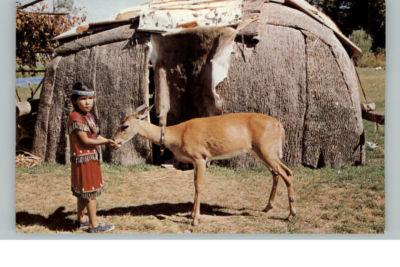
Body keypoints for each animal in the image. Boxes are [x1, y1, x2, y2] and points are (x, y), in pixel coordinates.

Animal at [113, 104, 296, 226]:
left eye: (125, 126)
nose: (114, 143)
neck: (177, 136)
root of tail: (280, 125)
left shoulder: (200, 157)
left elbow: (198, 185)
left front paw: (195, 219)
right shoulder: (196, 161)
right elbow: (195, 185)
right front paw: (192, 214)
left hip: (266, 149)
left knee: (286, 173)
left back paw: (290, 214)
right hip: (263, 151)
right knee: (279, 173)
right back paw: (267, 207)